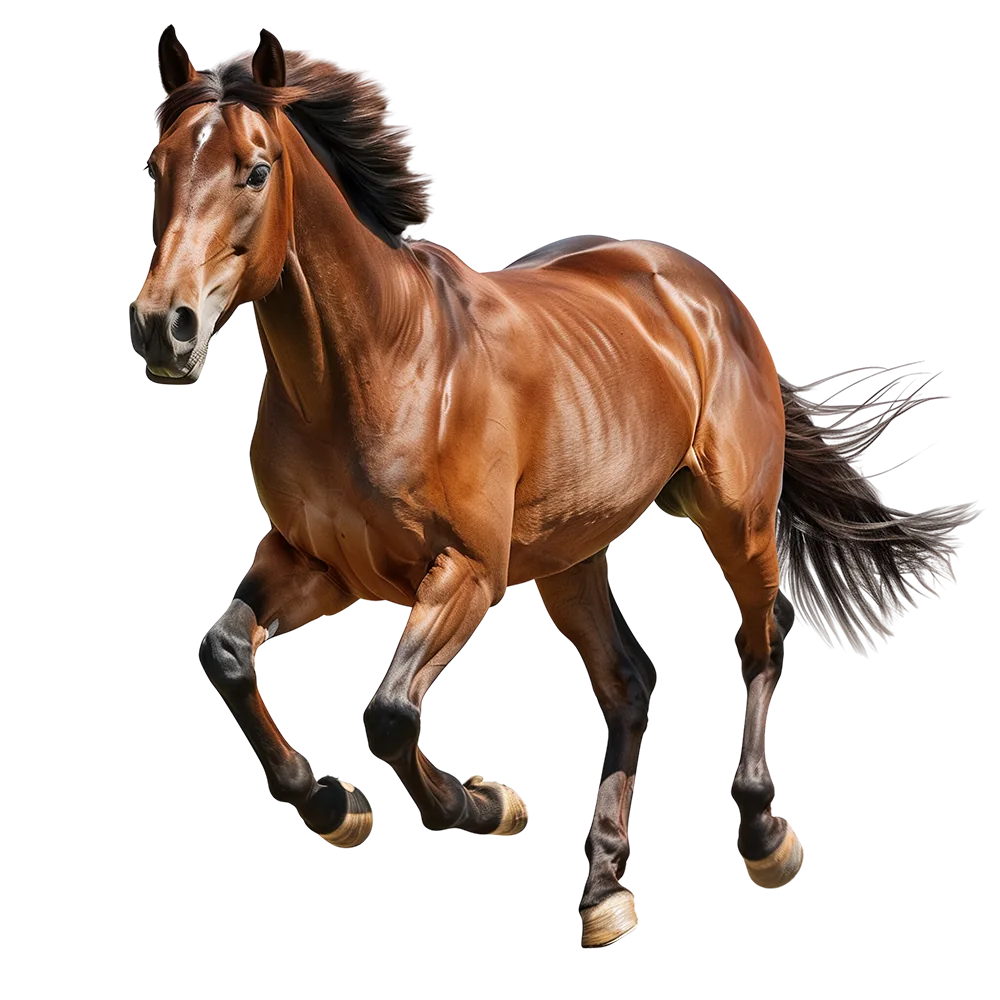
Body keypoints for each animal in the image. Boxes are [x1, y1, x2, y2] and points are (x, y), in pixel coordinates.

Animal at [130, 29, 956, 947]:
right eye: (158, 166)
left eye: (256, 170)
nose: (164, 324)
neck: (373, 367)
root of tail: (705, 292)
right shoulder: (321, 563)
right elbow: (227, 650)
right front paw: (332, 804)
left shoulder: (469, 569)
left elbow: (390, 710)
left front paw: (483, 803)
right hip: (568, 558)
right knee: (628, 685)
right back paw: (607, 890)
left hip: (735, 518)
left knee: (758, 645)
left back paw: (763, 836)